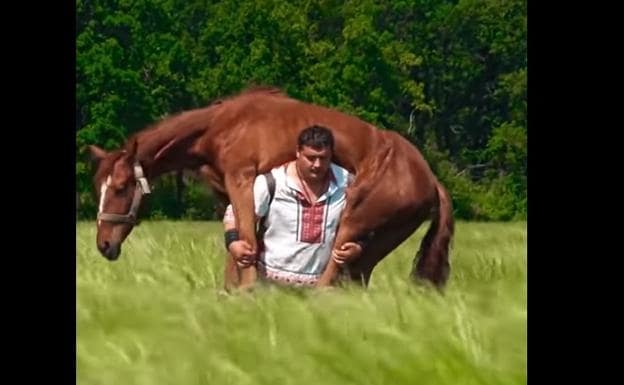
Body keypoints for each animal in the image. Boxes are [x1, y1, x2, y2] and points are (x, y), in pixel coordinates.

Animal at [89, 86, 454, 288]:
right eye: (99, 188)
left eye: (121, 187)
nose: (104, 244)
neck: (220, 126)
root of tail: (431, 179)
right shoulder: (229, 193)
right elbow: (237, 245)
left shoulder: (242, 179)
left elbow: (249, 241)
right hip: (379, 239)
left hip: (355, 219)